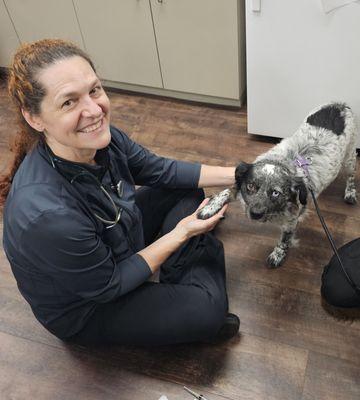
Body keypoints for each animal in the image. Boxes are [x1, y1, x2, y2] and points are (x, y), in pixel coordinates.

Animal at [198, 101, 358, 268]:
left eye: (276, 193)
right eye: (251, 186)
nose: (255, 214)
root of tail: (339, 104)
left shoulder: (291, 221)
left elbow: (284, 240)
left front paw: (278, 254)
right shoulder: (242, 185)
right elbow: (226, 192)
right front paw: (209, 208)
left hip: (350, 158)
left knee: (351, 176)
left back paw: (350, 193)